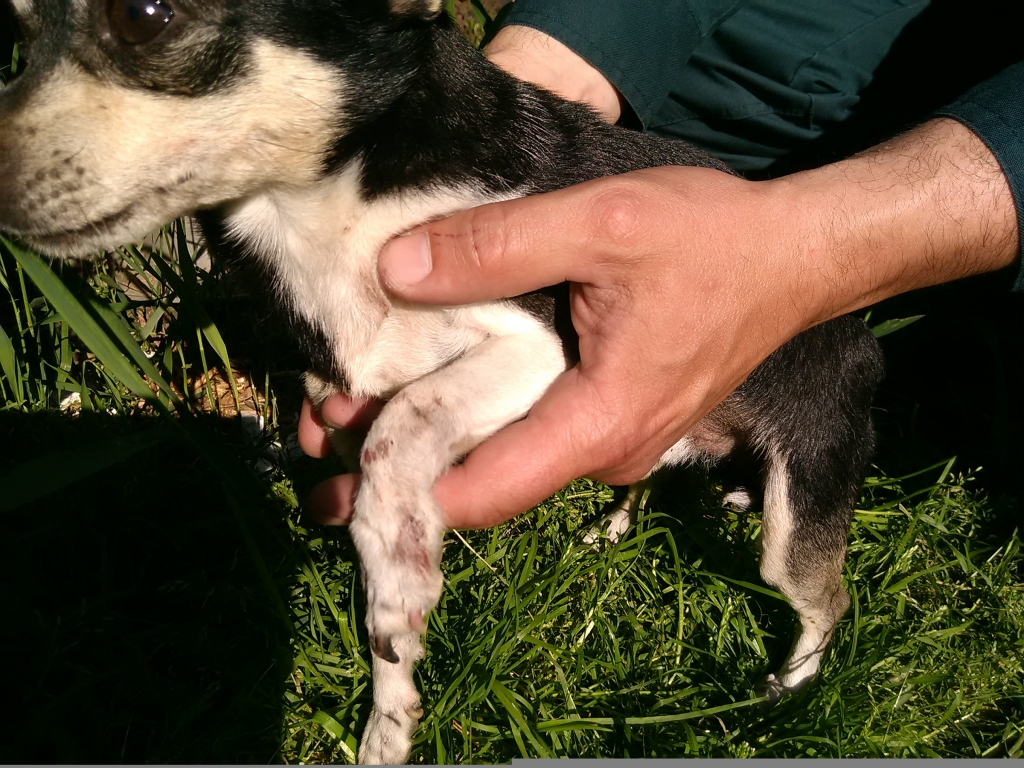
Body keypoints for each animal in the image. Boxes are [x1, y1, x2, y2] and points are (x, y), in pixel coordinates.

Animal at [0, 0, 880, 765]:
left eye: (145, 16)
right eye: (21, 29)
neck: (321, 216)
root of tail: (864, 334)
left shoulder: (539, 351)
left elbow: (402, 431)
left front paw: (400, 593)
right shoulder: (346, 401)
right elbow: (374, 526)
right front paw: (389, 714)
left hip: (798, 509)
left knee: (825, 600)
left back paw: (791, 689)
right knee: (647, 480)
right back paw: (610, 530)